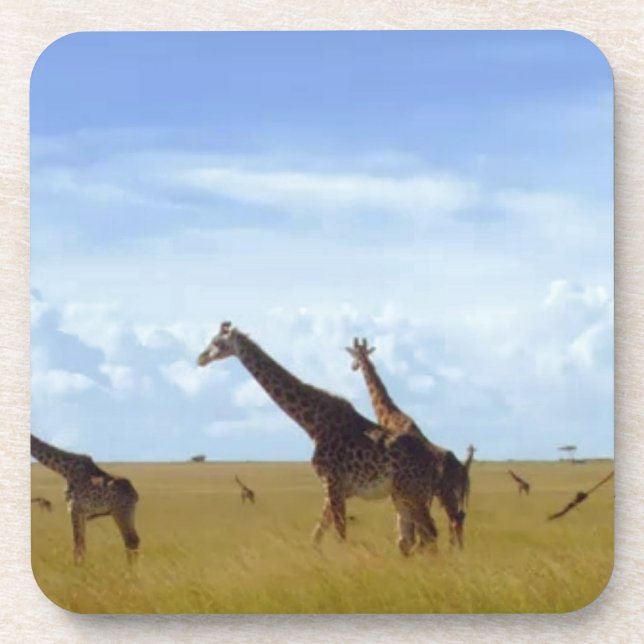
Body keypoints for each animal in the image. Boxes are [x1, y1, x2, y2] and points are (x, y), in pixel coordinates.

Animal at [30, 434, 140, 564]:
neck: (64, 469)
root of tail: (135, 494)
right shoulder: (81, 512)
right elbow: (82, 543)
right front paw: (82, 565)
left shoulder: (74, 508)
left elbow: (77, 543)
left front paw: (77, 567)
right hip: (128, 512)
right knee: (133, 540)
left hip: (121, 512)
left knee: (131, 540)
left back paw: (130, 570)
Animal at [197, 322, 439, 555]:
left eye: (217, 342)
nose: (201, 358)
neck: (313, 424)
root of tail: (433, 460)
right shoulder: (333, 488)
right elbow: (316, 536)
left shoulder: (332, 482)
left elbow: (340, 535)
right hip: (401, 494)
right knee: (410, 540)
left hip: (413, 492)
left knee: (429, 536)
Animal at [346, 338, 470, 549]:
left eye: (355, 355)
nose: (353, 366)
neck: (391, 417)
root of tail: (463, 470)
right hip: (451, 494)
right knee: (459, 518)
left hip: (447, 492)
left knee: (454, 519)